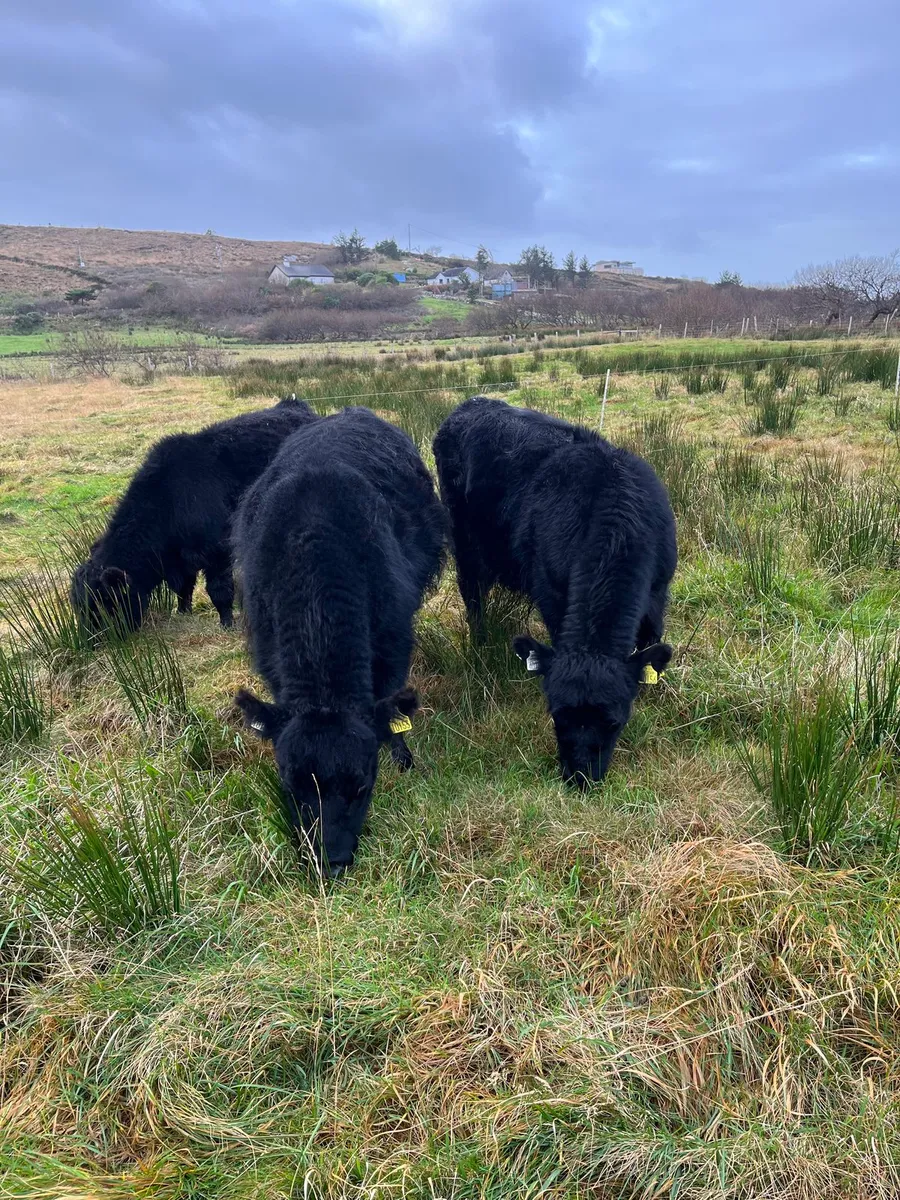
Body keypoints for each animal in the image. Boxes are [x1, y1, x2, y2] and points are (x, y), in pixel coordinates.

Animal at [70, 397, 316, 635]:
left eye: (102, 604)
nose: (89, 639)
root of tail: (294, 405)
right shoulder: (181, 560)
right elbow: (184, 587)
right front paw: (183, 611)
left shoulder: (217, 551)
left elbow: (219, 590)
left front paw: (227, 624)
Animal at [433, 396, 676, 788]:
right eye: (557, 716)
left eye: (614, 722)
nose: (581, 777)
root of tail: (471, 404)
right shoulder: (551, 593)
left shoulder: (657, 597)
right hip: (465, 547)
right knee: (474, 600)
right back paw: (481, 648)